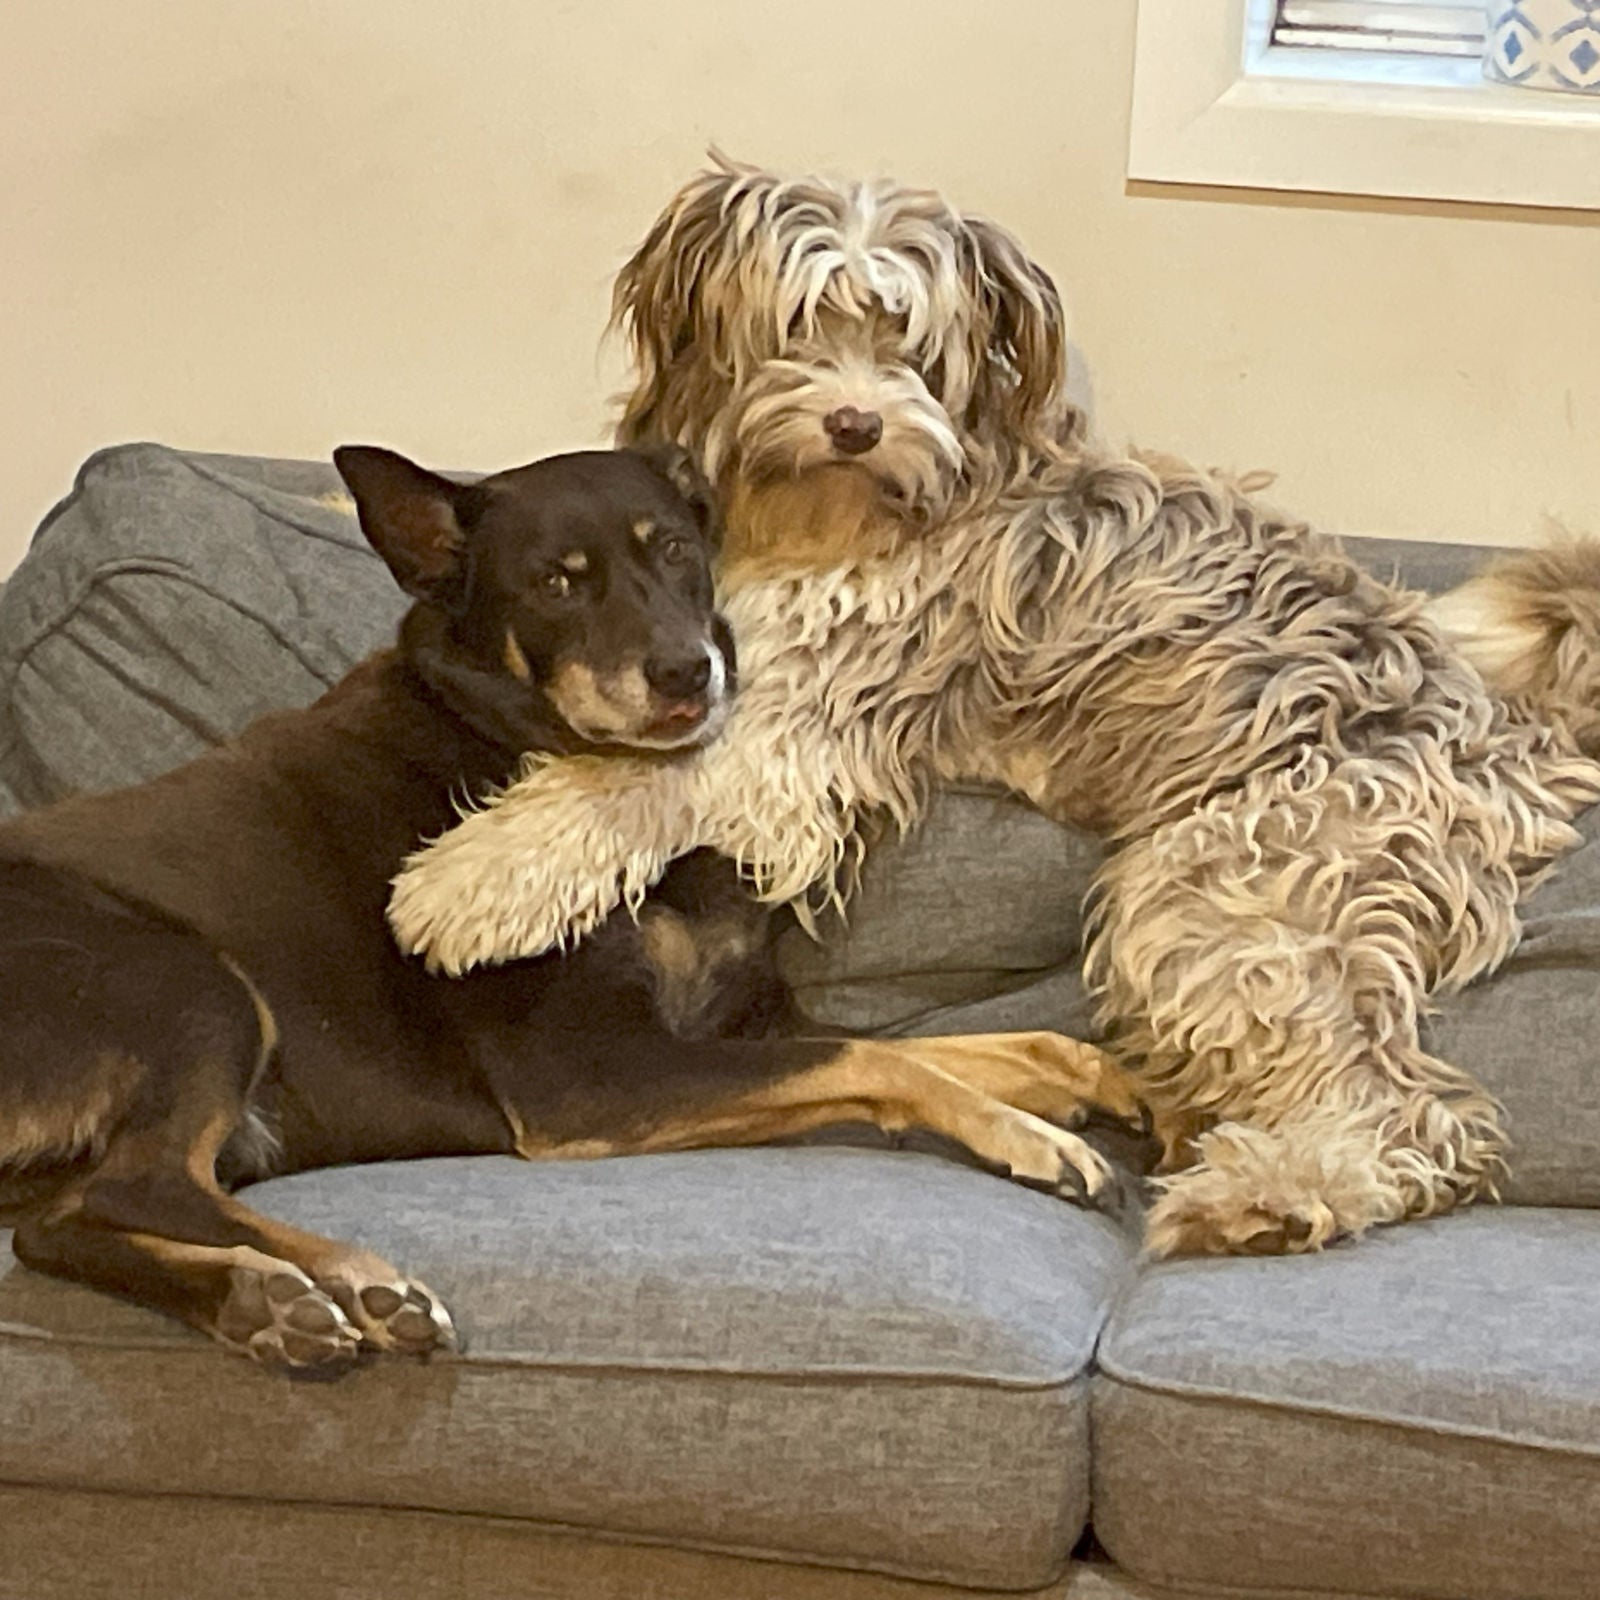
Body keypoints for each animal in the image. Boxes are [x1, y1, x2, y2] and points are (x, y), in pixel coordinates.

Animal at [0, 441, 1132, 1376]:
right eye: (554, 583)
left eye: (676, 550)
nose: (686, 673)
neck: (521, 739)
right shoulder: (585, 1078)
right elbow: (879, 1058)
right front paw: (1039, 1140)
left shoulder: (731, 1023)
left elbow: (968, 1044)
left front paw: (1096, 1081)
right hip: (188, 985)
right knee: (127, 1188)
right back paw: (341, 1280)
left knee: (60, 1225)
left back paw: (275, 1301)